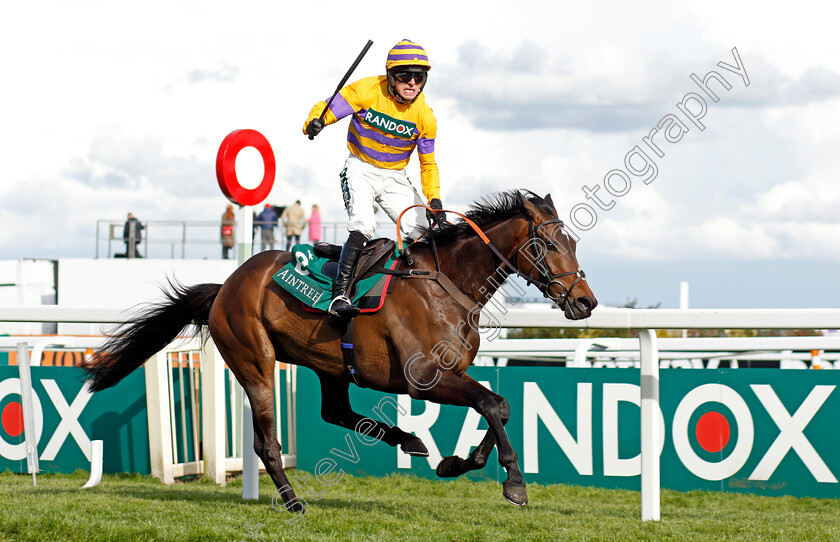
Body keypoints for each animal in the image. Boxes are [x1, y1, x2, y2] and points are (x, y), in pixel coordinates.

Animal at [82, 191, 596, 516]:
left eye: (573, 241)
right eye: (549, 244)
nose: (586, 301)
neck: (445, 284)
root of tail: (224, 286)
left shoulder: (445, 376)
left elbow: (500, 406)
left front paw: (458, 462)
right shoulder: (424, 378)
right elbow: (491, 403)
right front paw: (514, 483)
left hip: (330, 365)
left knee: (335, 411)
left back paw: (406, 439)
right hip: (254, 361)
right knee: (267, 444)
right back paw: (293, 502)